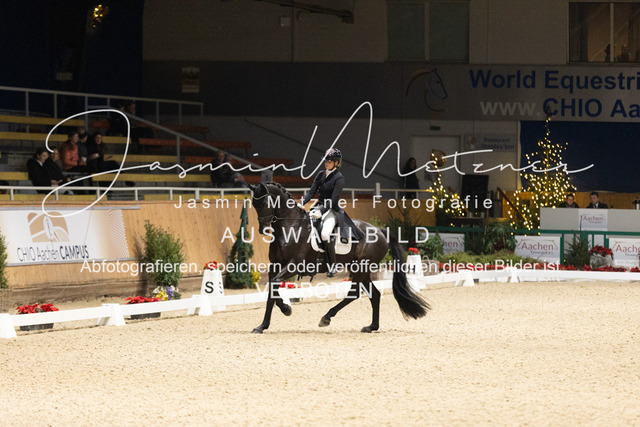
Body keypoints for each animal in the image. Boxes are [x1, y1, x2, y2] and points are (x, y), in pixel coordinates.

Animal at [247, 182, 430, 334]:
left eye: (264, 203)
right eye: (254, 204)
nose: (263, 229)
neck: (291, 227)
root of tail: (379, 231)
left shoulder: (295, 265)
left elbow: (274, 285)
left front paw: (284, 311)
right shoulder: (276, 265)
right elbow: (272, 289)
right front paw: (265, 323)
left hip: (361, 267)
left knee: (355, 293)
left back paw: (326, 318)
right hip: (360, 268)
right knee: (375, 295)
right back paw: (371, 326)